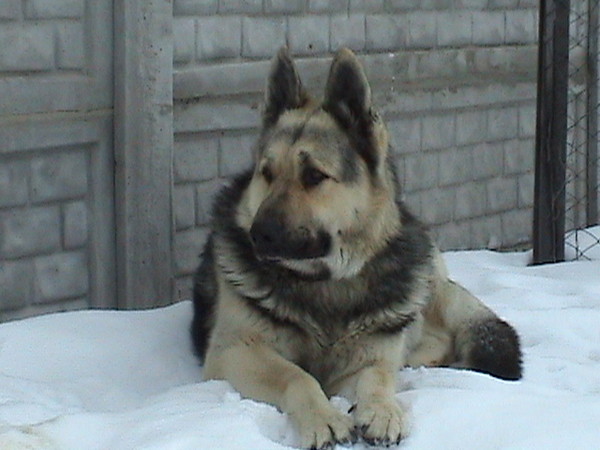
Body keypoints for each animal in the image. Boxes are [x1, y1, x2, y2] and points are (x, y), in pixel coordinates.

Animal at [190, 47, 524, 448]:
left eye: (314, 176)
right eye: (267, 174)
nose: (258, 235)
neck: (327, 282)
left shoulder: (369, 357)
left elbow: (378, 376)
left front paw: (382, 410)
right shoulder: (234, 351)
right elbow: (296, 375)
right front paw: (322, 418)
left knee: (430, 338)